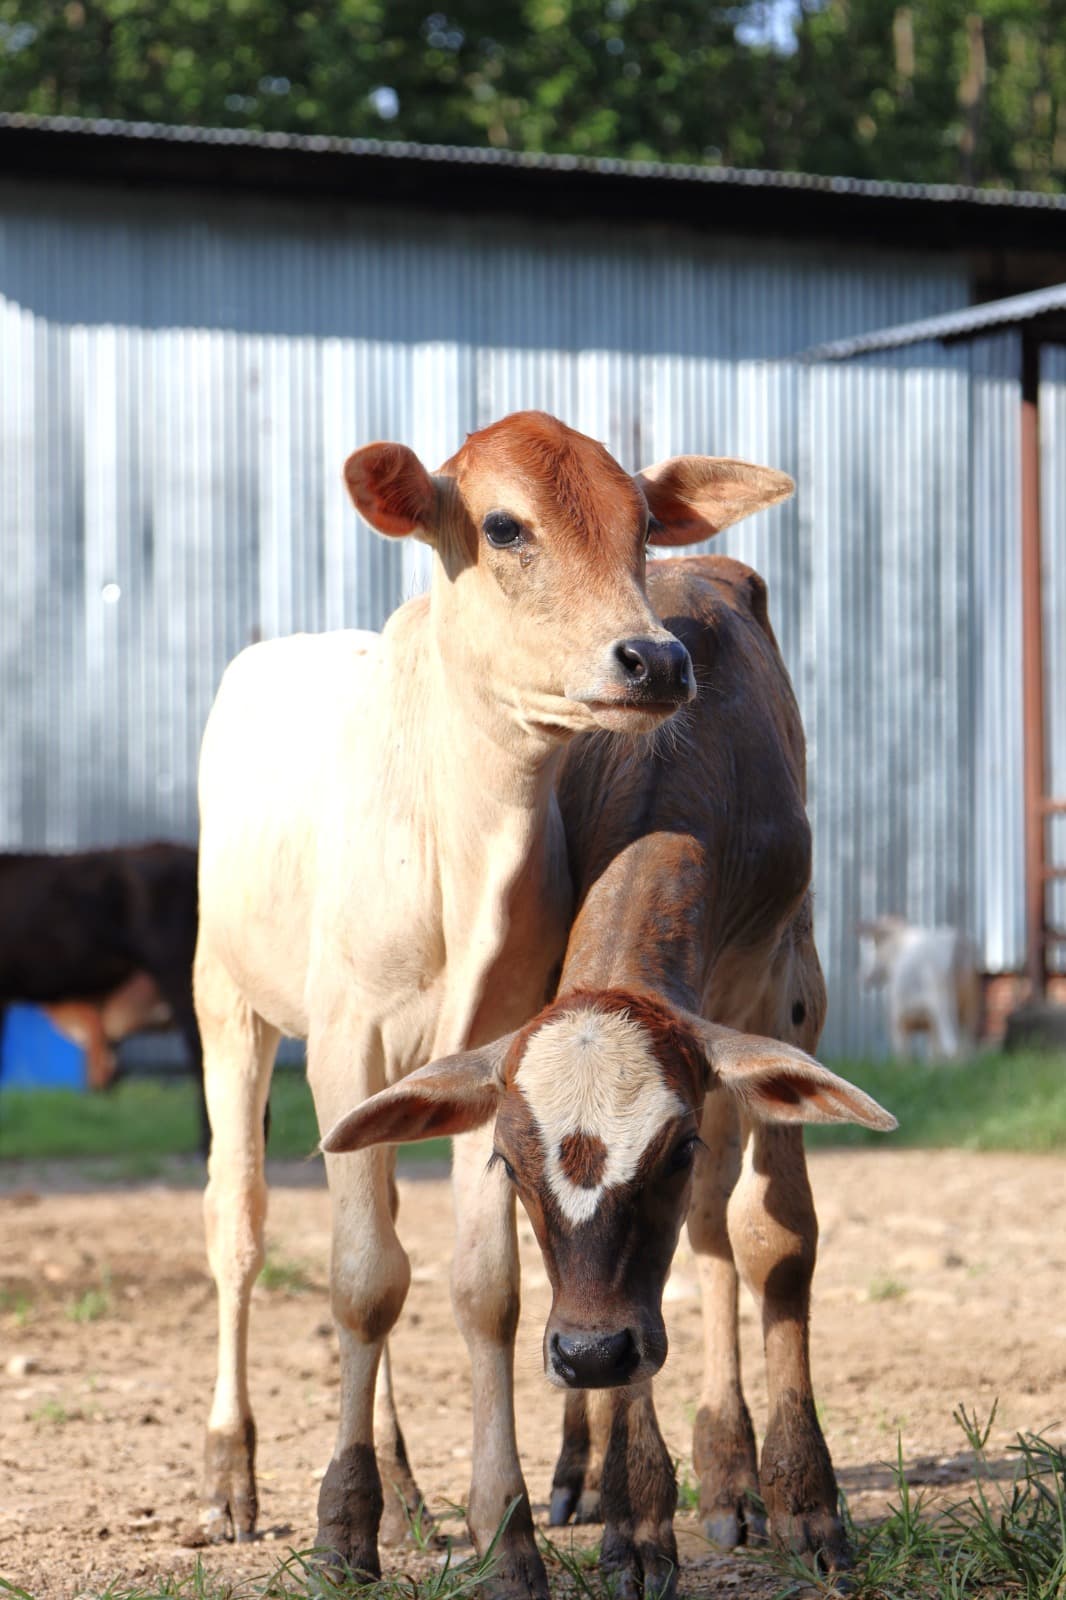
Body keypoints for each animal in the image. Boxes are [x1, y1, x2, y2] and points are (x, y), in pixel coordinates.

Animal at [193, 411, 798, 1595]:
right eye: (504, 525)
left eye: (643, 522)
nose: (654, 658)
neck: (457, 840)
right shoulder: (346, 1043)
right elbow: (360, 1280)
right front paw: (340, 1525)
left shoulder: (486, 1056)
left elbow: (478, 1289)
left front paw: (502, 1532)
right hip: (225, 1002)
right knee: (239, 1228)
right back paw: (234, 1472)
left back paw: (410, 1494)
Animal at [323, 553, 896, 1595]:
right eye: (508, 1165)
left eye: (672, 1153)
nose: (588, 1352)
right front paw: (635, 1519)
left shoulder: (780, 998)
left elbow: (772, 1239)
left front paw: (805, 1497)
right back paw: (584, 1470)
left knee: (712, 1233)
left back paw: (730, 1473)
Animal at [857, 915, 981, 1061]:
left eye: (876, 944)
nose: (864, 978)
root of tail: (959, 945)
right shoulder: (928, 1024)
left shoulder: (899, 1021)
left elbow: (903, 1056)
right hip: (970, 1006)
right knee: (965, 1047)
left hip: (943, 1004)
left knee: (952, 1046)